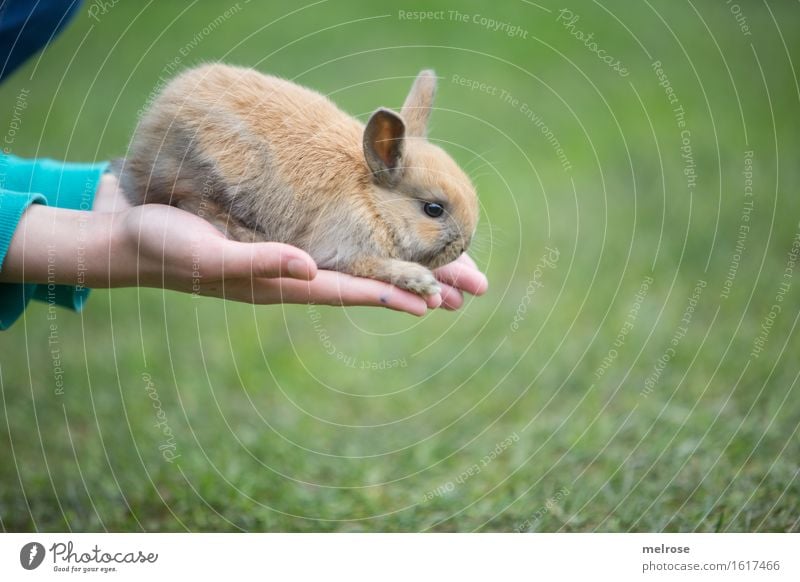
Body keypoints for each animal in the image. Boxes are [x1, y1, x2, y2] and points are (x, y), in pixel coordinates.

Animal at [112, 65, 476, 296]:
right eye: (433, 209)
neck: (371, 200)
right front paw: (421, 281)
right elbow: (370, 265)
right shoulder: (343, 250)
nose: (463, 246)